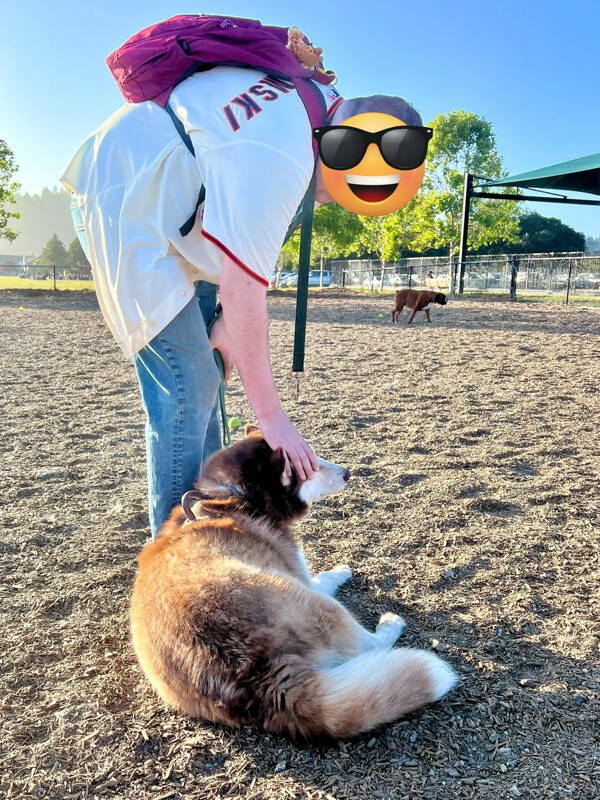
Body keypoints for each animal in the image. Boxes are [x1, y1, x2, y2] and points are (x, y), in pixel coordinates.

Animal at [130, 428, 454, 740]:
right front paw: (342, 570)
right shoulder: (301, 573)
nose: (348, 472)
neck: (234, 498)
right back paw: (390, 625)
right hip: (314, 602)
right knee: (370, 645)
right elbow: (323, 576)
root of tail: (255, 675)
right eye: (312, 466)